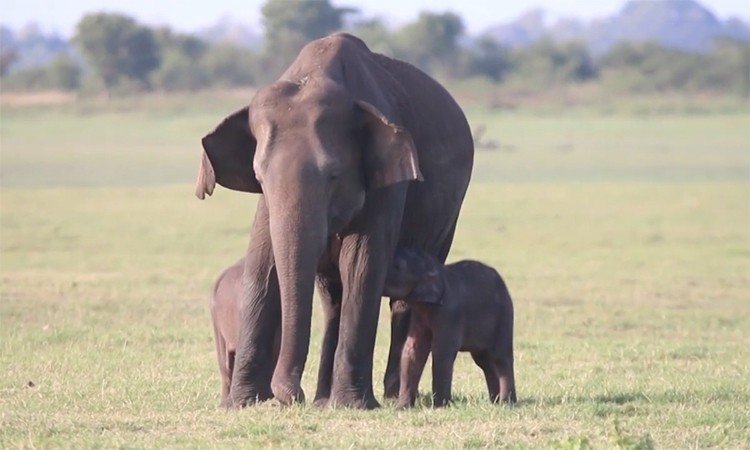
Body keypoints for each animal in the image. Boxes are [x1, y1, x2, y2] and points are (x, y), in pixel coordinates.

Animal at [195, 33, 476, 410]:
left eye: (333, 175)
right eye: (259, 176)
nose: (290, 395)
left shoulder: (386, 182)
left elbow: (362, 263)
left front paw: (354, 405)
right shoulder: (267, 202)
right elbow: (263, 262)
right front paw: (240, 404)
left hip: (448, 215)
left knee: (405, 297)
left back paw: (389, 395)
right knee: (332, 300)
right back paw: (322, 400)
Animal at [382, 246, 516, 408]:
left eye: (397, 266)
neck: (437, 269)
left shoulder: (450, 313)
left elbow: (442, 351)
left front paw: (440, 406)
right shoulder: (418, 315)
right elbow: (412, 349)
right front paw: (401, 407)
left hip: (504, 317)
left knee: (500, 357)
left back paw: (506, 403)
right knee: (484, 361)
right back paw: (495, 402)